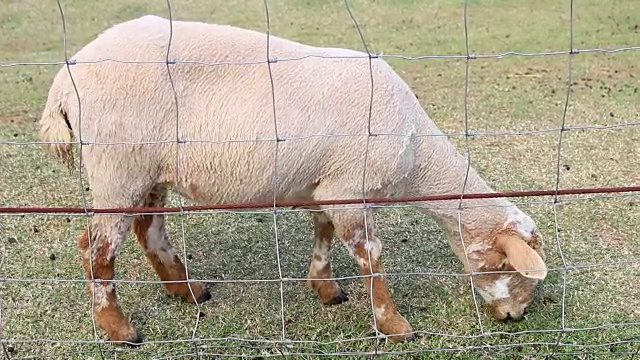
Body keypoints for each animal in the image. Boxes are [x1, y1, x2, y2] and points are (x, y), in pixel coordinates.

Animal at [37, 14, 548, 346]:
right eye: (505, 266)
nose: (514, 316)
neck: (416, 153)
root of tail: (64, 77)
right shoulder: (350, 188)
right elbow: (371, 258)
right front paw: (394, 325)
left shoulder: (328, 184)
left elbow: (322, 232)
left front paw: (325, 288)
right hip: (116, 165)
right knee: (97, 249)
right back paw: (118, 329)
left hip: (148, 169)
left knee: (150, 230)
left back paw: (186, 290)